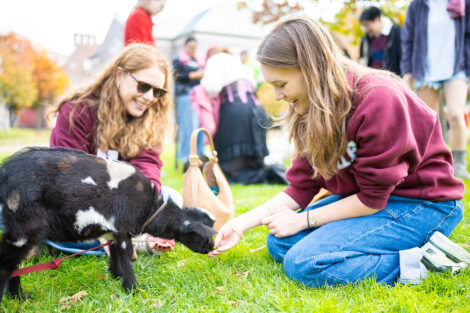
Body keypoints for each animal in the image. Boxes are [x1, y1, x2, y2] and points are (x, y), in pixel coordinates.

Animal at [0, 147, 217, 302]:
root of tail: (5, 173)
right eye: (207, 236)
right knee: (7, 264)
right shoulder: (123, 228)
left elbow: (115, 257)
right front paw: (133, 289)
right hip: (23, 230)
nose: (212, 248)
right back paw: (17, 298)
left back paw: (18, 298)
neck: (150, 209)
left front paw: (116, 277)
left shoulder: (113, 233)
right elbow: (126, 258)